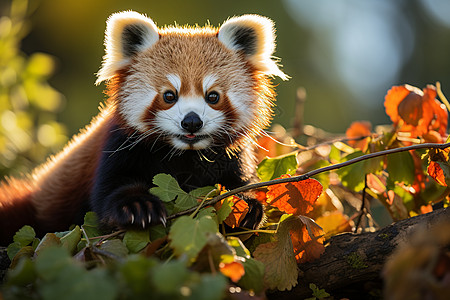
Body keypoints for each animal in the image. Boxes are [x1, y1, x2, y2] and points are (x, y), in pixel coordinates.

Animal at [0, 10, 286, 245]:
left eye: (212, 96)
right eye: (169, 95)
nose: (192, 121)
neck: (184, 155)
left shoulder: (232, 156)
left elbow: (239, 184)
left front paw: (247, 205)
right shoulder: (118, 146)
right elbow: (110, 190)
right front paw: (138, 206)